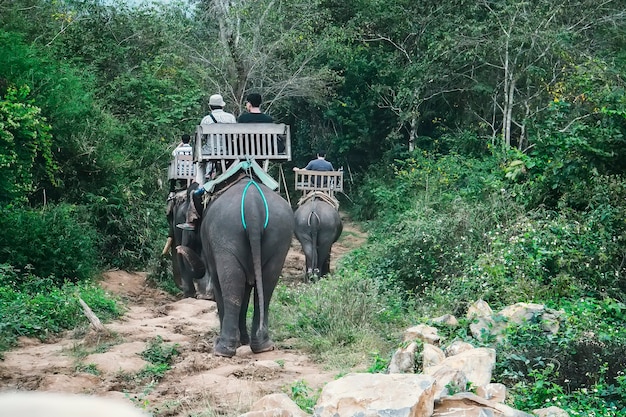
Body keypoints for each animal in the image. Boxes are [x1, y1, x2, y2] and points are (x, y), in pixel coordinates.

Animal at [176, 176, 292, 358]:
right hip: (280, 237)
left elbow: (220, 283)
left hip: (226, 234)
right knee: (267, 286)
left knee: (232, 285)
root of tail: (252, 206)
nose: (178, 247)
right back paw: (263, 346)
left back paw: (222, 349)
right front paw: (243, 341)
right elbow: (247, 289)